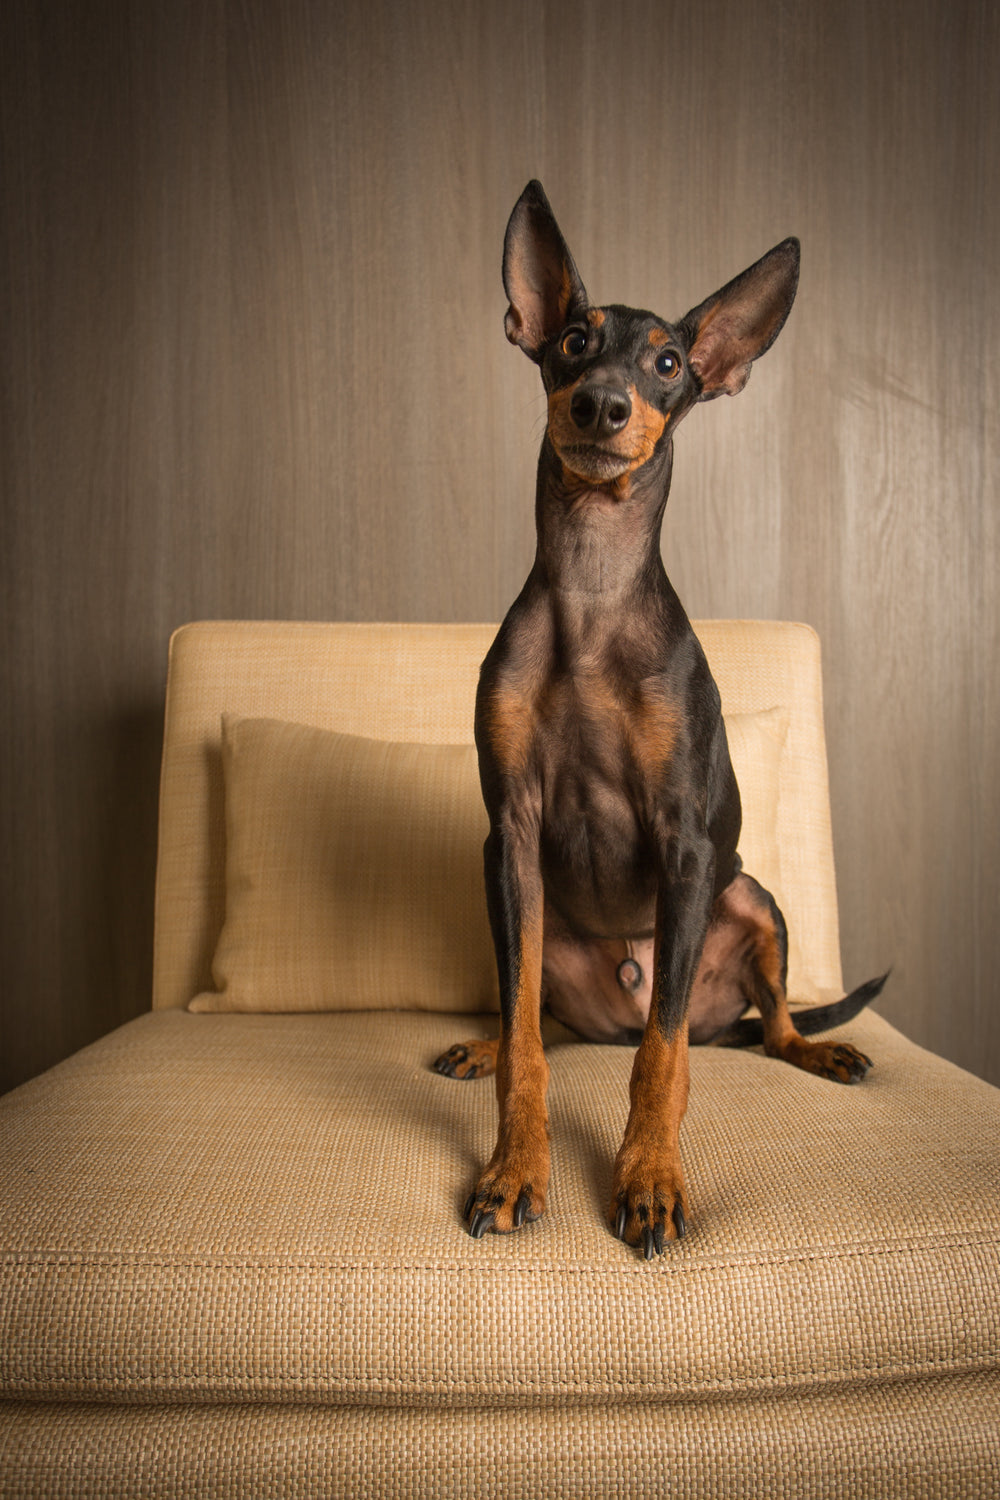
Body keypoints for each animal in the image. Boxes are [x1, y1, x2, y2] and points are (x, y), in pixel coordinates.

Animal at [434, 181, 887, 1260]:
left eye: (669, 363)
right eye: (571, 340)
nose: (602, 403)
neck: (593, 593)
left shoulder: (687, 846)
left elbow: (662, 1057)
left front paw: (647, 1178)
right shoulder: (509, 834)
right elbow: (527, 1040)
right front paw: (513, 1169)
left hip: (752, 900)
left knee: (763, 1026)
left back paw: (818, 1051)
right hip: (533, 916)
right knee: (538, 1016)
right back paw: (482, 1042)